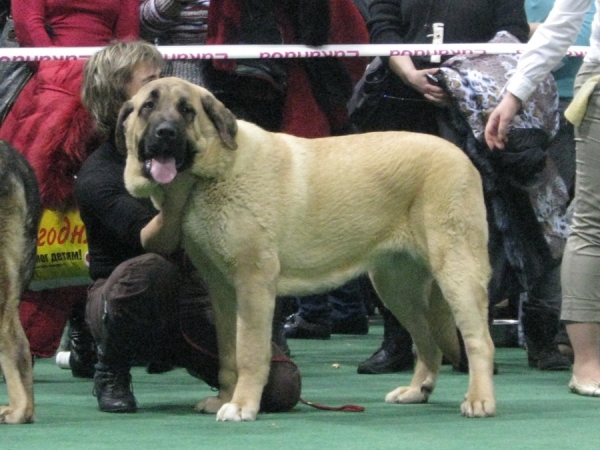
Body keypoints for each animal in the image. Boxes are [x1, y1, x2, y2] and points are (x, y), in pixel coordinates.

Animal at [118, 76, 496, 422]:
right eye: (147, 106)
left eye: (187, 110)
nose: (165, 133)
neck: (214, 175)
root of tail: (460, 155)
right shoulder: (222, 290)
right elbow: (228, 351)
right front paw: (225, 397)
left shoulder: (253, 284)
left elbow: (249, 352)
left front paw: (241, 405)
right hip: (396, 287)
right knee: (426, 340)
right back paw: (417, 390)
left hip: (456, 272)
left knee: (478, 340)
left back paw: (479, 400)